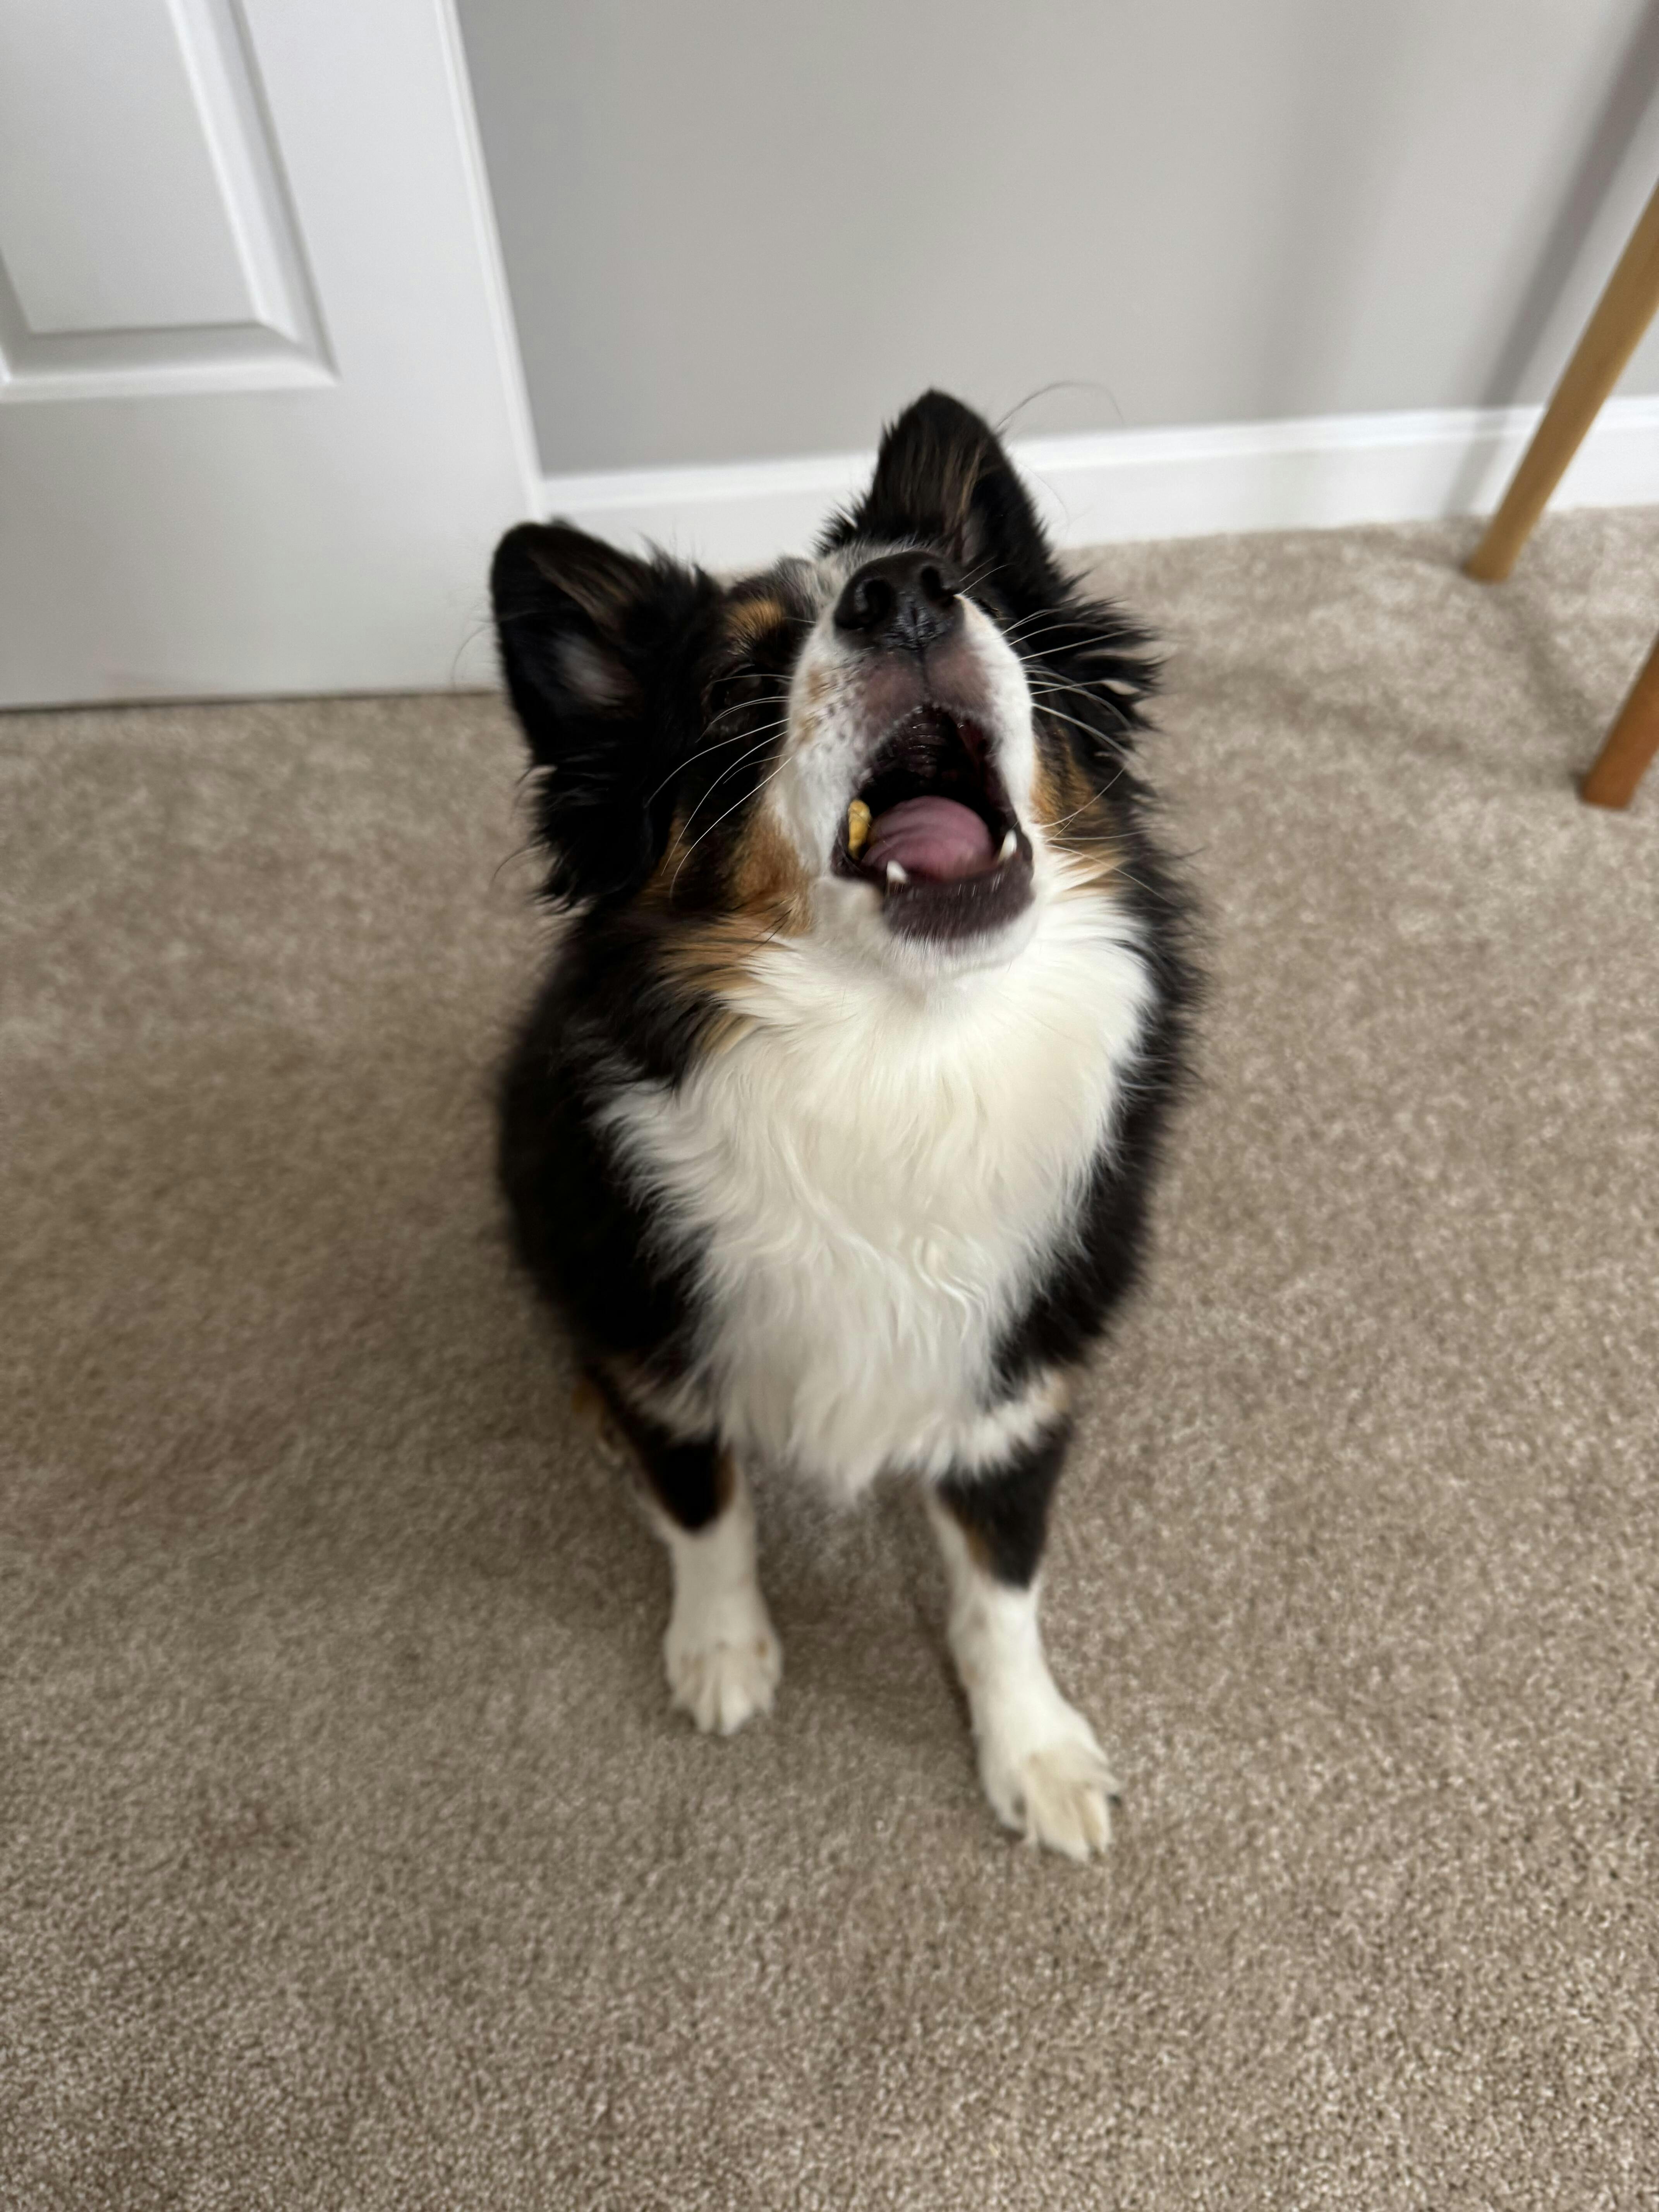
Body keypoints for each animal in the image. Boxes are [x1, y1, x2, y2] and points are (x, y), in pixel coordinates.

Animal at [491, 392, 1193, 1859]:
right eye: (735, 688)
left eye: (978, 593)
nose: (904, 594)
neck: (899, 1059)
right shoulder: (663, 1343)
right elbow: (706, 1508)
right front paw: (720, 1650)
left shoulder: (1015, 1390)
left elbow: (1000, 1588)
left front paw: (1034, 1750)